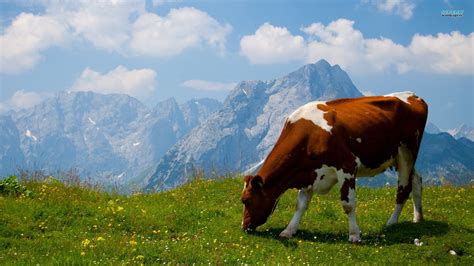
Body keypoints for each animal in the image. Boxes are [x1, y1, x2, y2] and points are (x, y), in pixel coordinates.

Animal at [243, 92, 428, 243]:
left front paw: (354, 235)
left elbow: (348, 204)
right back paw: (418, 217)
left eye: (246, 200)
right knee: (416, 180)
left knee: (403, 189)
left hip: (407, 153)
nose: (244, 227)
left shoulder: (347, 166)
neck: (309, 135)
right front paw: (289, 230)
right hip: (397, 158)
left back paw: (391, 222)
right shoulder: (309, 173)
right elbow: (300, 205)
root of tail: (413, 95)